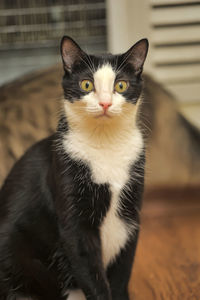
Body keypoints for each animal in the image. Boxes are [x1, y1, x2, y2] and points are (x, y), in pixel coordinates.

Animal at [0, 35, 148, 300]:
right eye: (87, 84)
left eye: (120, 85)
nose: (105, 103)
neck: (106, 144)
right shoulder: (75, 222)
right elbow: (91, 271)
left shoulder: (131, 218)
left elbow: (122, 272)